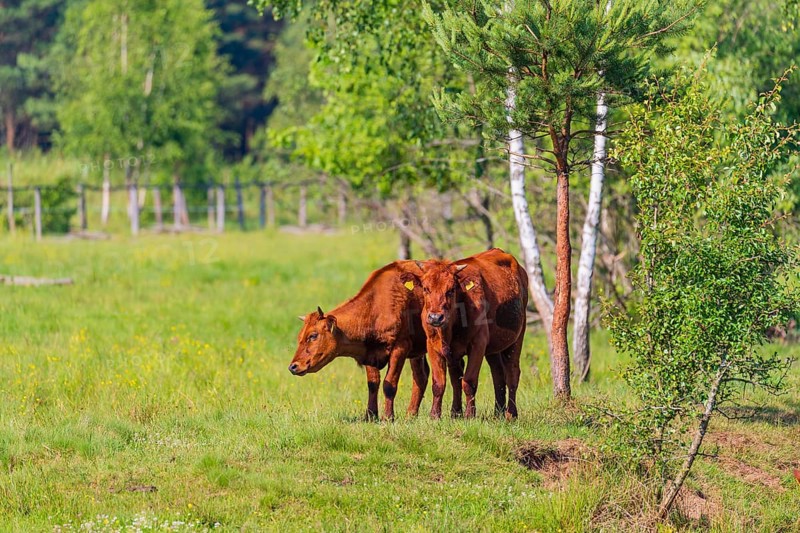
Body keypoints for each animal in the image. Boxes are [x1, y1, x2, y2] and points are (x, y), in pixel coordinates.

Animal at [289, 261, 429, 420]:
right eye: (299, 337)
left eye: (313, 335)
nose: (293, 367)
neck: (376, 305)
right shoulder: (369, 352)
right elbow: (373, 383)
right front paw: (370, 416)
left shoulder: (400, 349)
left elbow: (389, 384)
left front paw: (388, 417)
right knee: (421, 376)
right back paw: (411, 415)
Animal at [416, 248, 528, 420]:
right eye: (426, 288)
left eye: (451, 290)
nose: (435, 317)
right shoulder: (433, 346)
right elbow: (440, 383)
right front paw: (438, 415)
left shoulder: (478, 345)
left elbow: (469, 381)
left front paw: (469, 415)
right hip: (493, 349)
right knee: (498, 375)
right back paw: (497, 413)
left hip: (517, 339)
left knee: (512, 374)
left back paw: (511, 414)